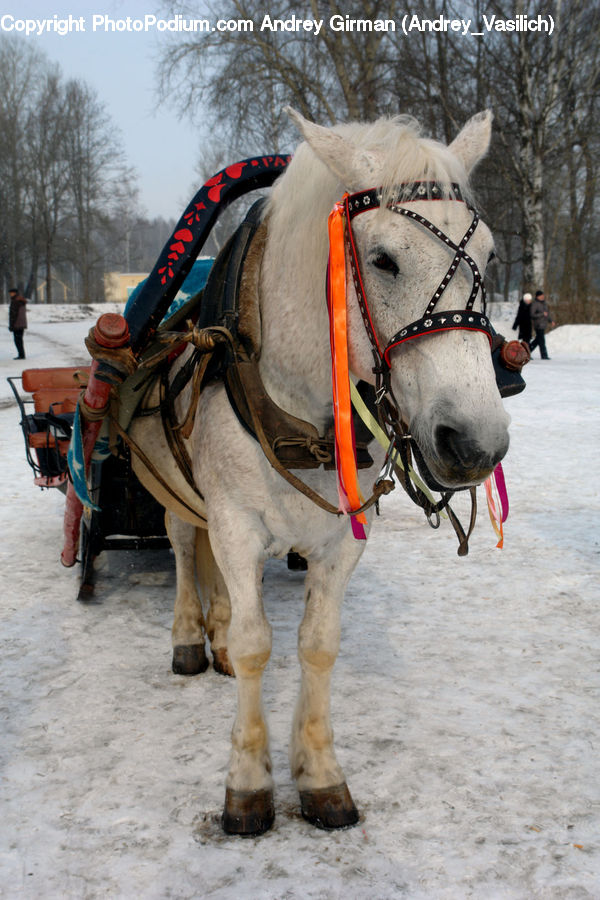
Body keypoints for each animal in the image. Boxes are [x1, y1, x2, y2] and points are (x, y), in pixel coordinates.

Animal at [128, 107, 510, 836]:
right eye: (383, 259)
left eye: (492, 255)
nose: (476, 443)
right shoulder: (236, 522)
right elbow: (257, 643)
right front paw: (248, 783)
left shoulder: (340, 538)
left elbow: (318, 644)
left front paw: (320, 774)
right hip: (176, 492)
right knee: (186, 545)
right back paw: (192, 636)